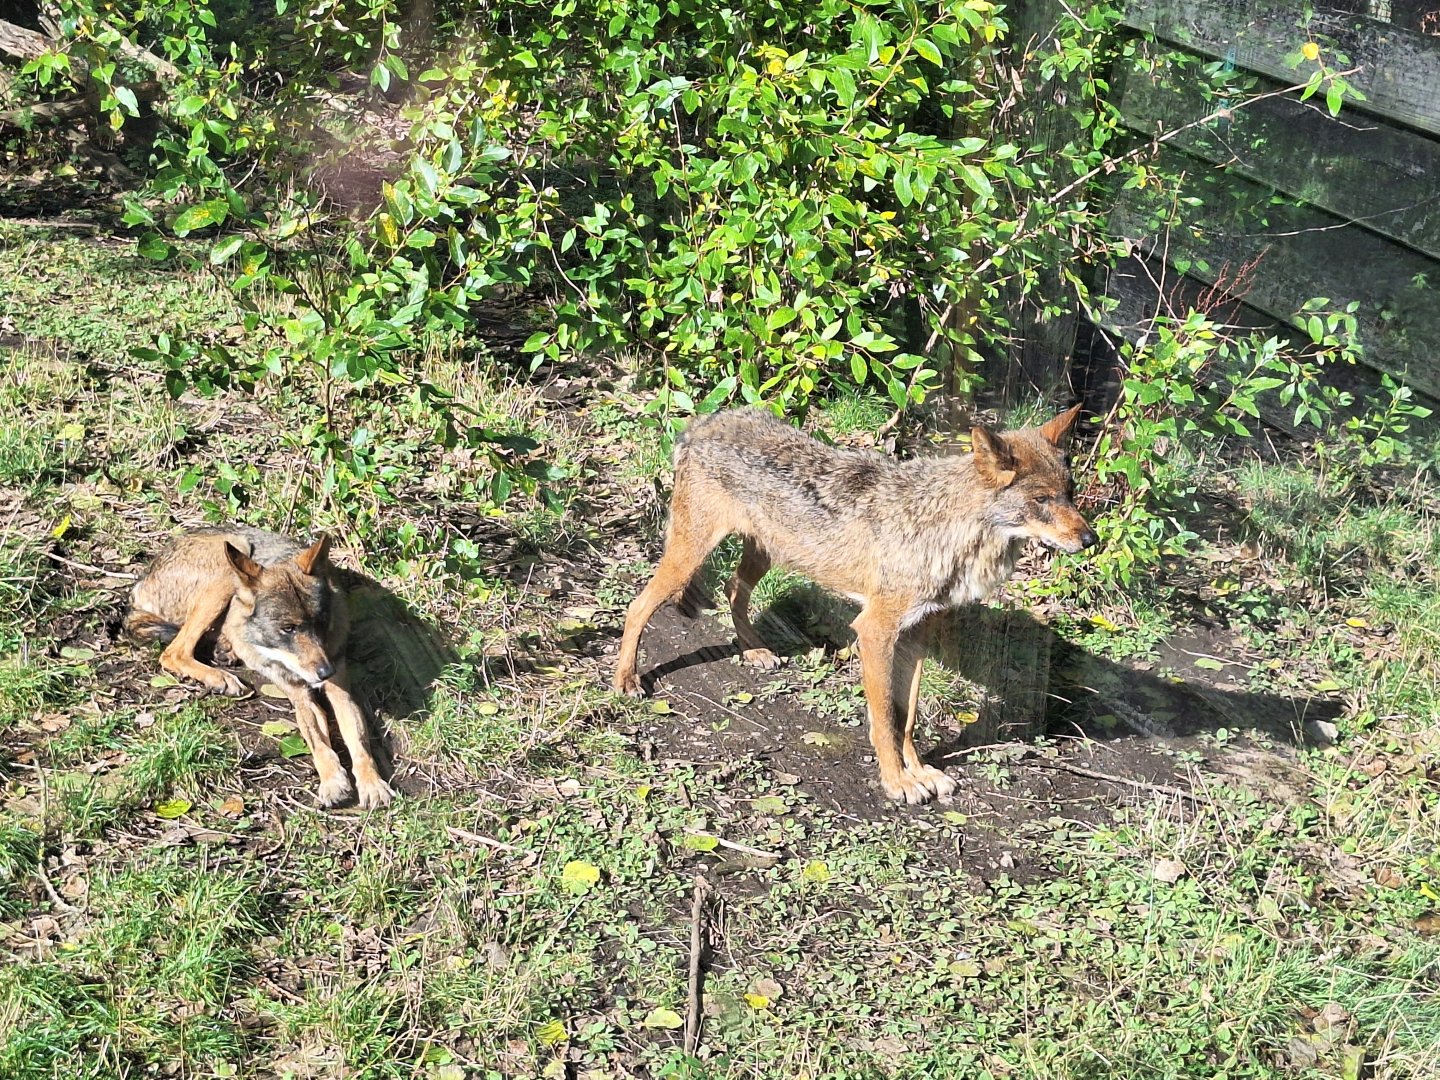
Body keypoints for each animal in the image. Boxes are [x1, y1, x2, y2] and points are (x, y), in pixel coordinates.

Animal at [126, 526, 393, 809]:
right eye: (288, 629)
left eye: (320, 622)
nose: (325, 673)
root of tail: (142, 580)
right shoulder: (298, 693)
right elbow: (317, 741)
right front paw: (333, 781)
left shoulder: (340, 690)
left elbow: (359, 744)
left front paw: (372, 785)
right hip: (231, 558)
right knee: (173, 652)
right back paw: (221, 677)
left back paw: (226, 650)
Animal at [612, 405, 1096, 804]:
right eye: (1041, 500)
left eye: (1071, 493)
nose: (1090, 539)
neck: (949, 530)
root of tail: (703, 422)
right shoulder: (875, 630)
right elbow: (884, 718)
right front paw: (897, 782)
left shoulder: (917, 633)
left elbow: (907, 718)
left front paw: (919, 771)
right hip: (690, 557)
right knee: (637, 607)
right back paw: (626, 680)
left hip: (765, 555)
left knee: (733, 590)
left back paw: (754, 649)